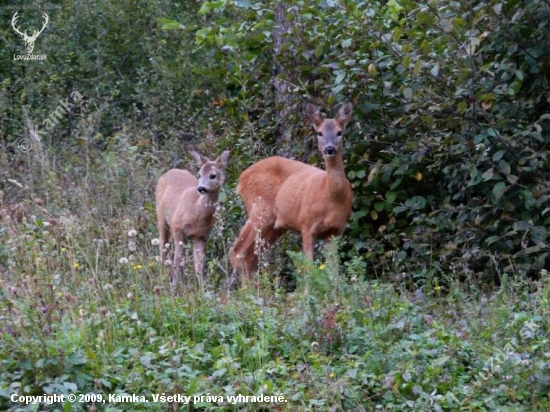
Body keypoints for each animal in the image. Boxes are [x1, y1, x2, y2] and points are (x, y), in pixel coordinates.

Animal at [156, 150, 230, 284]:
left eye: (213, 175)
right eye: (199, 174)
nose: (201, 188)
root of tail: (169, 171)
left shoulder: (202, 235)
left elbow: (199, 264)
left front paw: (202, 287)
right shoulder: (177, 227)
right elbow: (177, 260)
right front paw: (174, 285)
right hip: (161, 217)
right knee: (162, 246)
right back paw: (161, 275)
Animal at [231, 101, 356, 280]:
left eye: (339, 132)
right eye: (319, 133)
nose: (330, 149)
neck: (330, 195)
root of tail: (241, 179)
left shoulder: (335, 230)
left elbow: (334, 273)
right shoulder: (306, 225)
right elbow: (309, 269)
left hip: (275, 225)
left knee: (250, 256)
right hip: (259, 210)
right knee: (237, 251)